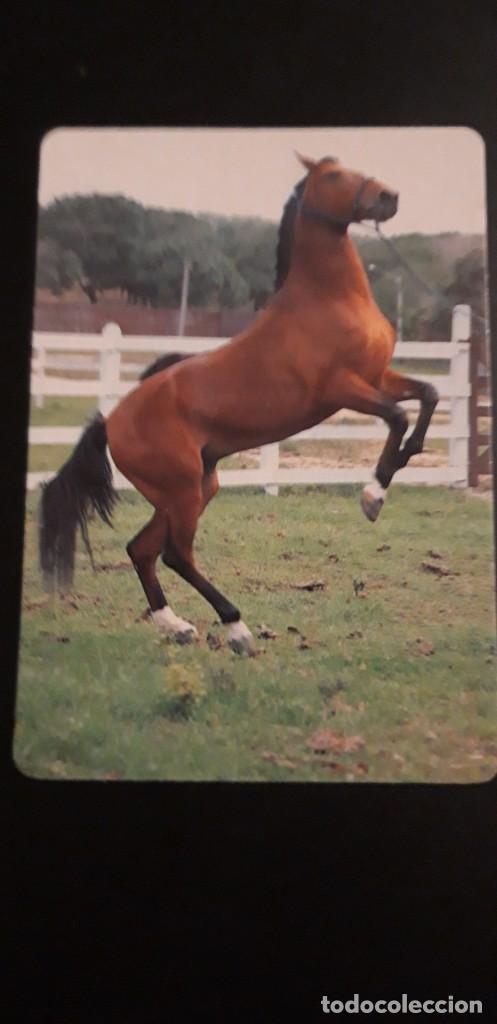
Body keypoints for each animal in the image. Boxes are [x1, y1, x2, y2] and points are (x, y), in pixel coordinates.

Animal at [37, 153, 439, 655]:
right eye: (332, 175)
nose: (389, 197)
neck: (329, 301)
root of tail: (111, 421)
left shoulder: (378, 377)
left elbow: (428, 395)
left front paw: (399, 466)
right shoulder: (342, 389)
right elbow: (398, 415)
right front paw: (373, 495)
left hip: (192, 489)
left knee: (142, 550)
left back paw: (176, 625)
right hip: (183, 493)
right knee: (174, 555)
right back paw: (236, 628)